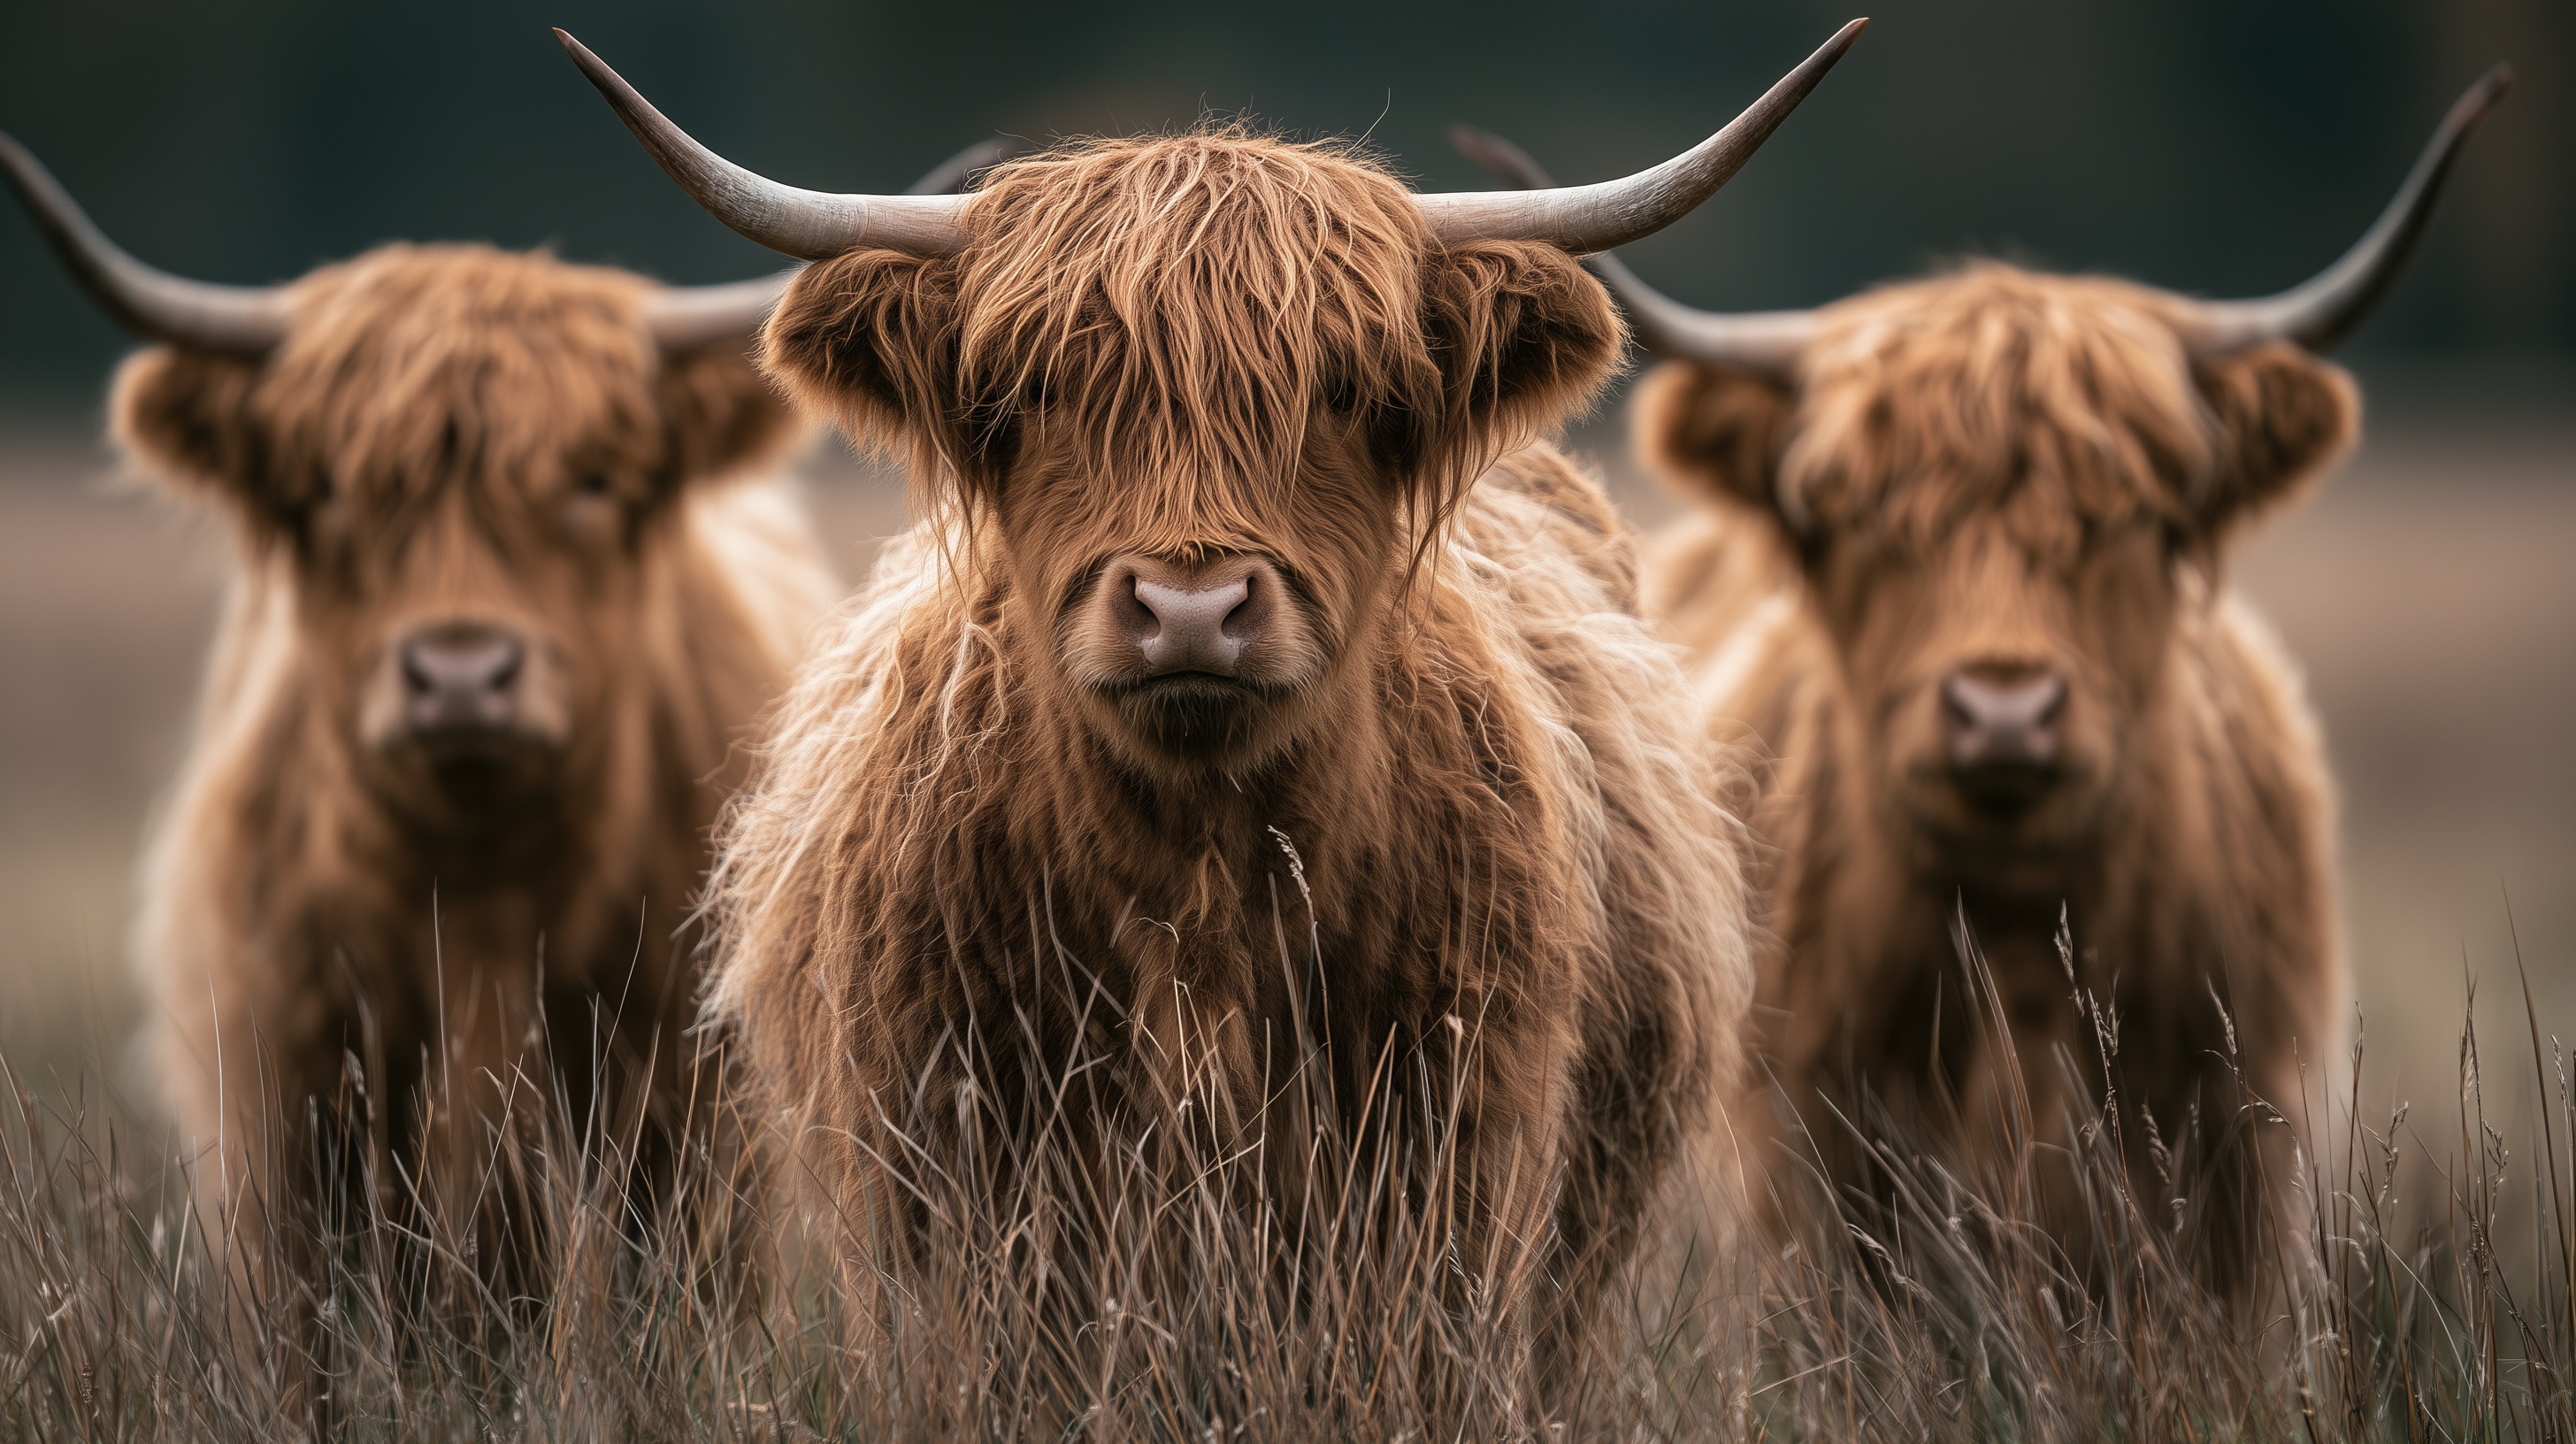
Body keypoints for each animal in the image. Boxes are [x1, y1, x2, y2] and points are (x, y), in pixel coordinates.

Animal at [0, 134, 997, 1300]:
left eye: (594, 481)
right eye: (330, 492)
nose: (462, 676)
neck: (477, 903)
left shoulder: (688, 1127)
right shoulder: (283, 1143)